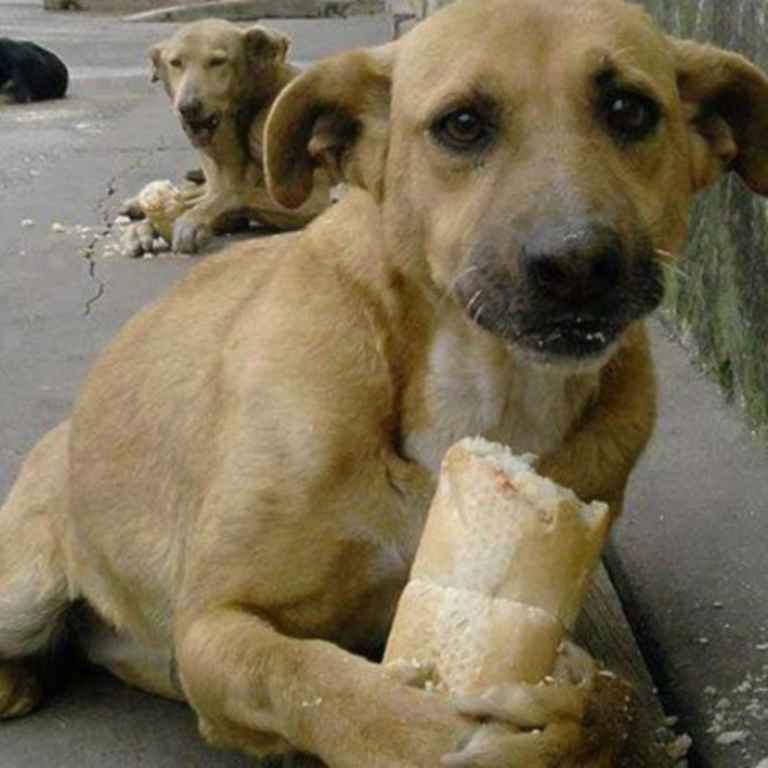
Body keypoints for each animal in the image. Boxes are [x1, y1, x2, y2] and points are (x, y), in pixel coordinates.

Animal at [123, 18, 330, 256]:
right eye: (175, 63)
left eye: (217, 62)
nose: (187, 107)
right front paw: (146, 226)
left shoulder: (314, 201)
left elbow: (233, 193)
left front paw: (190, 220)